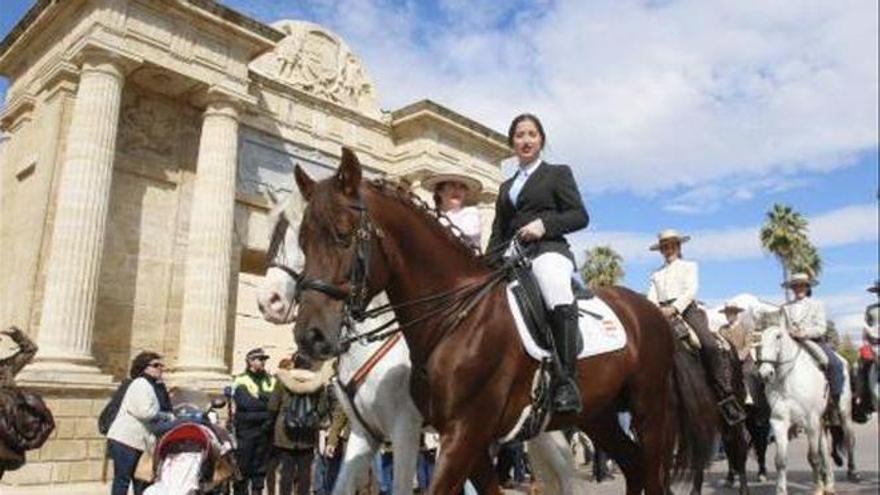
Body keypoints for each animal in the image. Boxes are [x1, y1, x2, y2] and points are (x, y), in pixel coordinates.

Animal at [288, 149, 716, 494]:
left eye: (343, 236)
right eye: (302, 240)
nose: (310, 336)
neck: (454, 317)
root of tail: (654, 312)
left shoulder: (460, 432)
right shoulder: (462, 438)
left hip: (649, 411)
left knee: (650, 473)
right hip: (599, 415)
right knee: (632, 465)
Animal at [756, 324, 852, 494]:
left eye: (778, 336)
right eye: (760, 338)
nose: (765, 373)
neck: (788, 381)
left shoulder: (810, 422)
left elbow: (813, 457)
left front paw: (818, 488)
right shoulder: (779, 423)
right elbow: (780, 460)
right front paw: (781, 490)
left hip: (842, 414)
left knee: (848, 441)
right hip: (822, 422)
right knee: (825, 451)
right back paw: (829, 484)